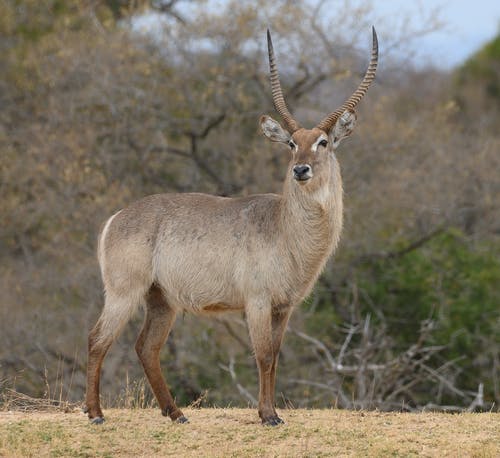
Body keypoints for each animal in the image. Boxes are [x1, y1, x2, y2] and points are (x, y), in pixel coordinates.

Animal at [86, 26, 376, 424]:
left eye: (323, 142)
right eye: (291, 143)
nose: (301, 169)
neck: (286, 230)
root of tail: (115, 218)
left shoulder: (284, 307)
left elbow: (275, 357)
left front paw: (271, 411)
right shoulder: (257, 301)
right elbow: (264, 355)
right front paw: (268, 414)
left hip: (161, 300)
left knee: (146, 347)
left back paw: (175, 413)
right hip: (123, 291)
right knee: (98, 340)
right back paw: (95, 412)